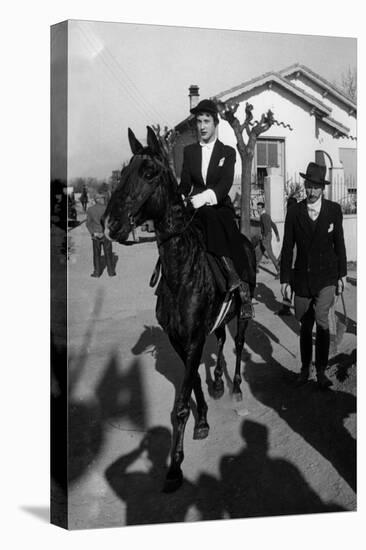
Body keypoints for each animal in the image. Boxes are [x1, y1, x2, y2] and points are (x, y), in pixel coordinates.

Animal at [104, 127, 256, 494]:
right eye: (125, 171)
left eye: (149, 172)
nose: (110, 223)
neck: (181, 271)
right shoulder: (181, 340)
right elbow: (194, 383)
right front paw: (203, 418)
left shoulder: (195, 339)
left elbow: (181, 405)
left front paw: (174, 466)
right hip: (219, 321)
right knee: (221, 343)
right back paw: (219, 383)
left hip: (242, 316)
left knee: (238, 344)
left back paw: (236, 388)